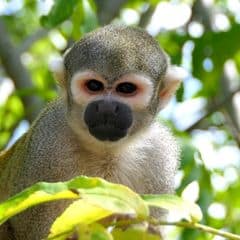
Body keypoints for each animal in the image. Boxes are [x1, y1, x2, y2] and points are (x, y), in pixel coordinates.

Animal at [0, 24, 180, 238]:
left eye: (126, 88)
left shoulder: (159, 158)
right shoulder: (44, 146)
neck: (105, 151)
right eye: (94, 85)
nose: (107, 108)